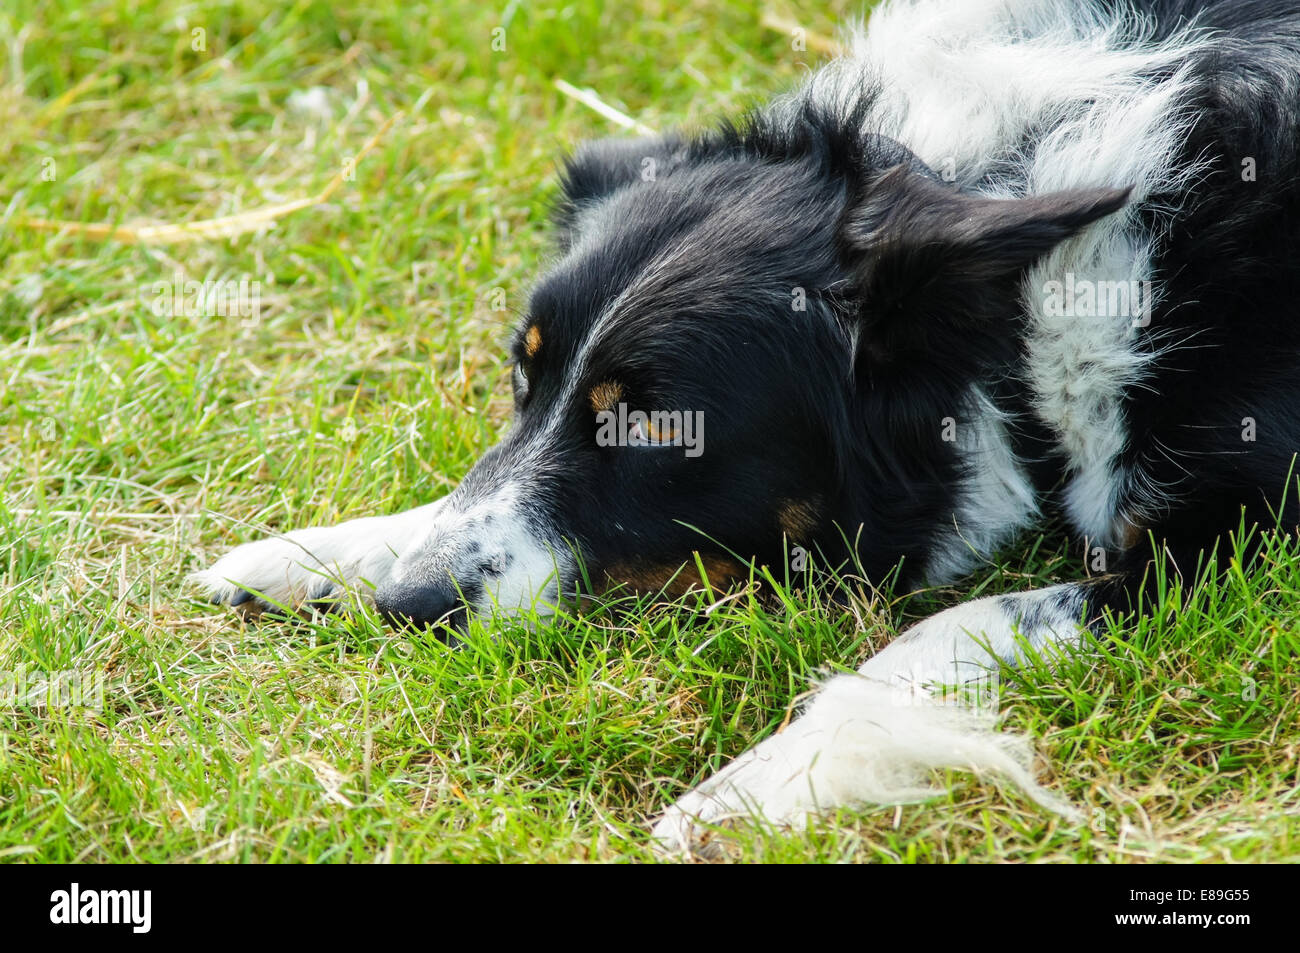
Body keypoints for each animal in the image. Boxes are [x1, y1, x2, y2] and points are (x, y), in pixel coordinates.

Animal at [189, 0, 1300, 847]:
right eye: (520, 372)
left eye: (655, 428)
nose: (408, 607)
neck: (1018, 314)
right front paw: (318, 554)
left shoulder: (1233, 542)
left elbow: (955, 621)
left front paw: (756, 783)